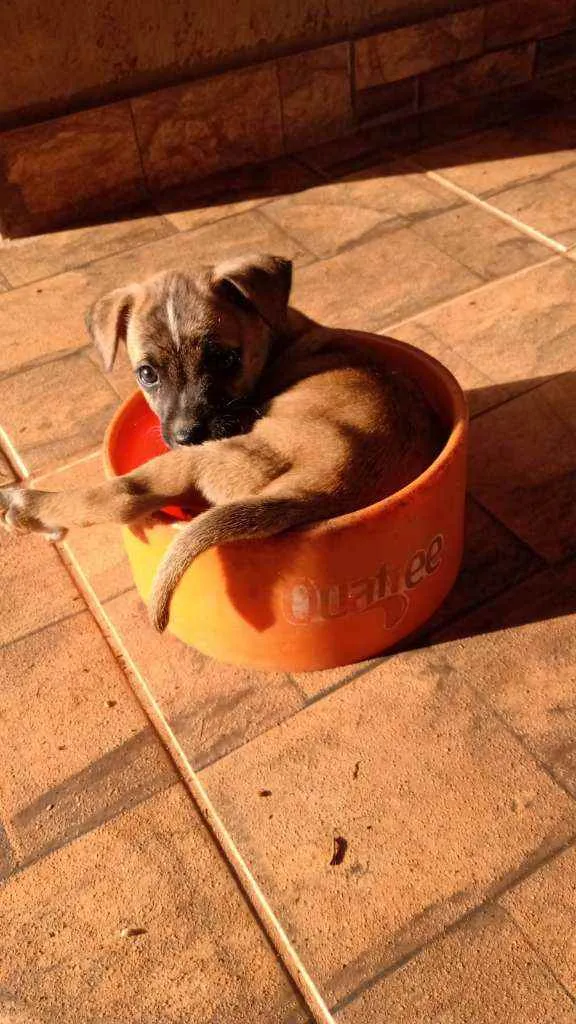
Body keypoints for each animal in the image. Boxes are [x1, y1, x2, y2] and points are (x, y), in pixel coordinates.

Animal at [0, 251, 438, 626]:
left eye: (226, 359)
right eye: (147, 374)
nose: (186, 435)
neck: (280, 336)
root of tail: (328, 484)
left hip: (198, 462)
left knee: (122, 496)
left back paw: (26, 506)